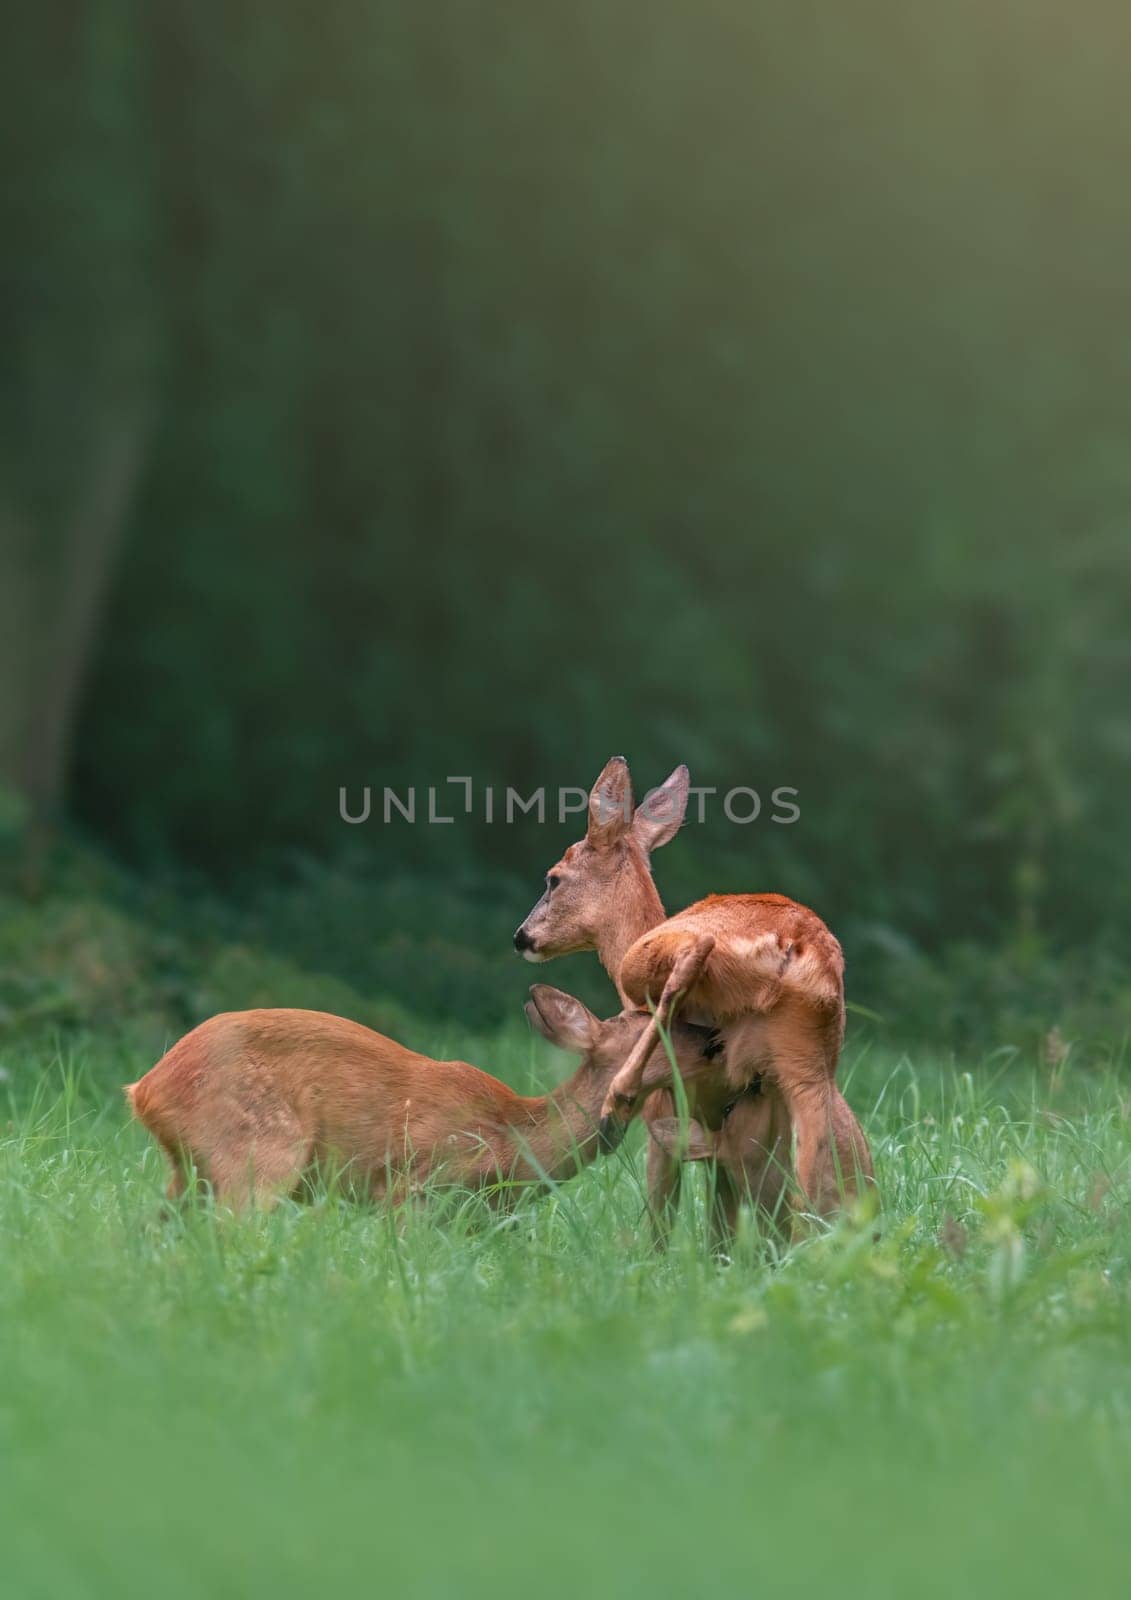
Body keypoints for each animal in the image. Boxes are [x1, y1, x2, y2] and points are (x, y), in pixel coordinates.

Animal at [123, 985, 719, 1209]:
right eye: (658, 1026)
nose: (713, 1036)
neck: (516, 1141)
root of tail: (145, 1088)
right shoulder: (418, 1184)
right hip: (259, 1154)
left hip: (191, 1171)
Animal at [511, 755, 876, 1241]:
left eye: (553, 879)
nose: (522, 936)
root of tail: (799, 944)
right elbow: (721, 1219)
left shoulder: (665, 1122)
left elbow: (661, 1214)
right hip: (808, 1059)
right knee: (810, 1178)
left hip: (668, 971)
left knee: (692, 953)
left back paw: (616, 1103)